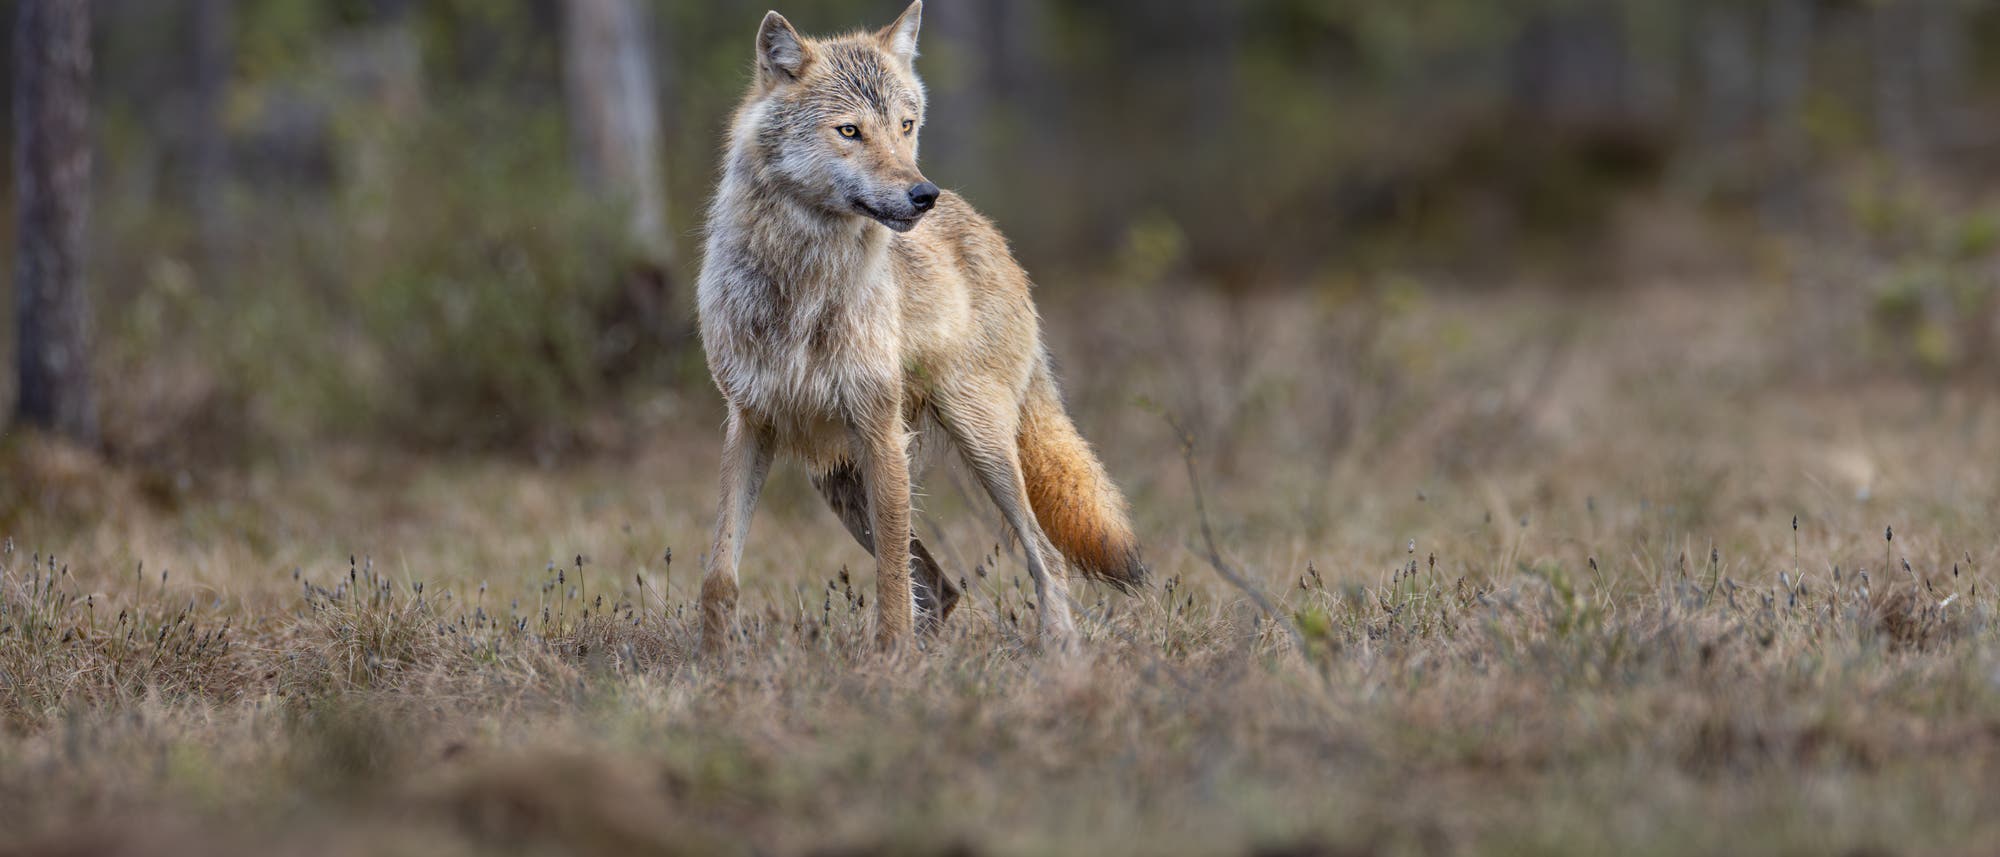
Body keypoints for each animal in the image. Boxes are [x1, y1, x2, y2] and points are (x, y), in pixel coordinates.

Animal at [696, 2, 1144, 652]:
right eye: (849, 131)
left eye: (906, 125)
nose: (921, 194)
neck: (802, 283)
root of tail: (990, 231)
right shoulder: (749, 424)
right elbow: (720, 575)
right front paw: (715, 663)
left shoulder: (881, 431)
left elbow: (888, 579)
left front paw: (891, 662)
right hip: (839, 481)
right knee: (941, 585)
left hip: (980, 443)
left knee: (1044, 557)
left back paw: (1057, 654)